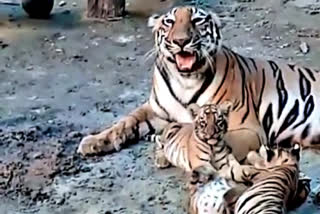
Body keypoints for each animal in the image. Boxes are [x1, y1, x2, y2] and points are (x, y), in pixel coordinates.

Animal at [77, 5, 320, 162]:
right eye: (169, 22)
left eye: (196, 21)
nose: (181, 41)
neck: (185, 80)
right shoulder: (156, 110)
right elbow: (126, 121)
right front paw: (94, 141)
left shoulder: (248, 127)